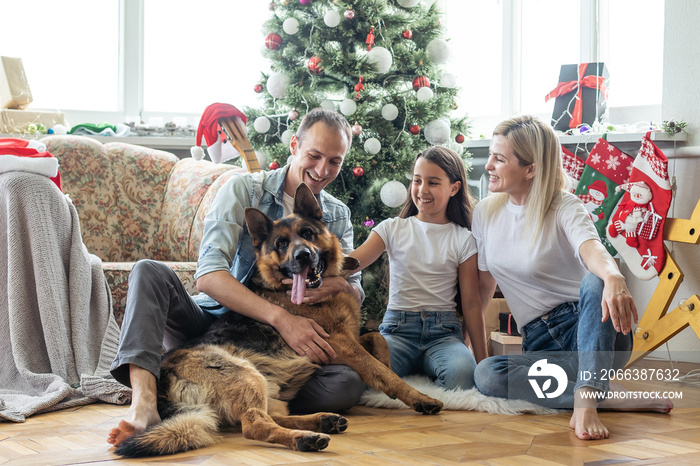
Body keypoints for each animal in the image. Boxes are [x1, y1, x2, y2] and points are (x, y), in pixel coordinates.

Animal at [116, 184, 442, 456]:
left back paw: (321, 421)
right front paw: (417, 396)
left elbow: (377, 339)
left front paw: (388, 366)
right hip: (245, 376)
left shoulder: (348, 336)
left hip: (263, 387)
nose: (302, 256)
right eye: (281, 244)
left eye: (308, 233)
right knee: (254, 426)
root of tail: (164, 383)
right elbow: (379, 370)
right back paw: (305, 438)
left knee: (271, 415)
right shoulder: (338, 343)